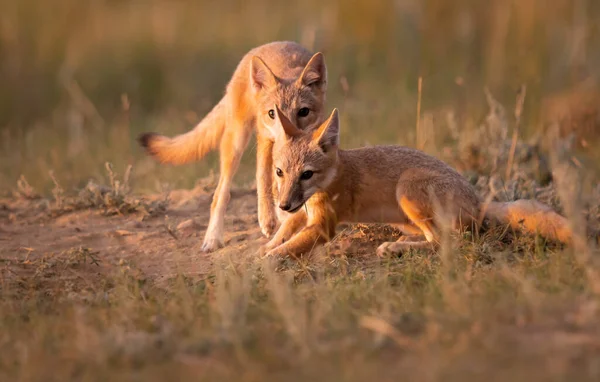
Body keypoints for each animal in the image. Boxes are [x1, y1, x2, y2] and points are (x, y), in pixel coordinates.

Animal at [138, 41, 328, 252]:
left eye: (303, 112)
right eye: (272, 113)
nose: (288, 134)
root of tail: (263, 47)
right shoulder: (265, 140)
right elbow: (263, 179)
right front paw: (267, 219)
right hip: (236, 143)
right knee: (220, 195)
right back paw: (212, 238)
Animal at [262, 106, 572, 258]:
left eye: (307, 174)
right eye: (279, 172)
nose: (284, 204)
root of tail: (478, 200)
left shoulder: (323, 227)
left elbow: (284, 251)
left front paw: (263, 264)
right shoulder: (304, 212)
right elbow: (282, 235)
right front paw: (265, 247)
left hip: (407, 190)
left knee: (447, 242)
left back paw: (396, 248)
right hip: (405, 215)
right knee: (436, 236)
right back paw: (401, 242)